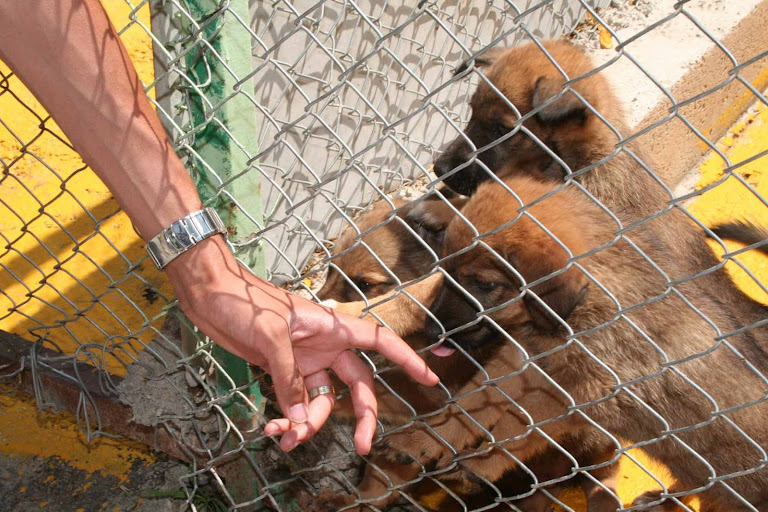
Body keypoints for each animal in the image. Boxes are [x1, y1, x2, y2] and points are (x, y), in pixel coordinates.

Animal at [376, 177, 768, 512]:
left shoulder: (583, 392)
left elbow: (519, 425)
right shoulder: (522, 362)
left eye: (484, 285)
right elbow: (467, 405)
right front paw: (420, 441)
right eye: (444, 272)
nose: (430, 332)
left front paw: (483, 463)